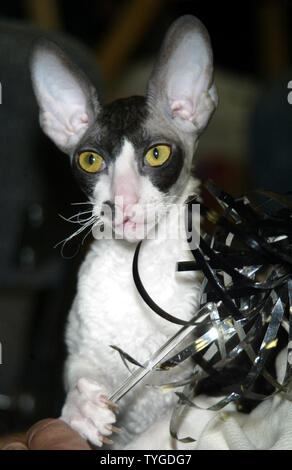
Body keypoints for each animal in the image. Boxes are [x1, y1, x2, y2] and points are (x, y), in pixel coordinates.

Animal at [30, 13, 217, 448]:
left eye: (157, 154)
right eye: (90, 160)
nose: (121, 202)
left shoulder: (198, 381)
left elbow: (159, 432)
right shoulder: (81, 350)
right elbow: (76, 381)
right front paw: (83, 411)